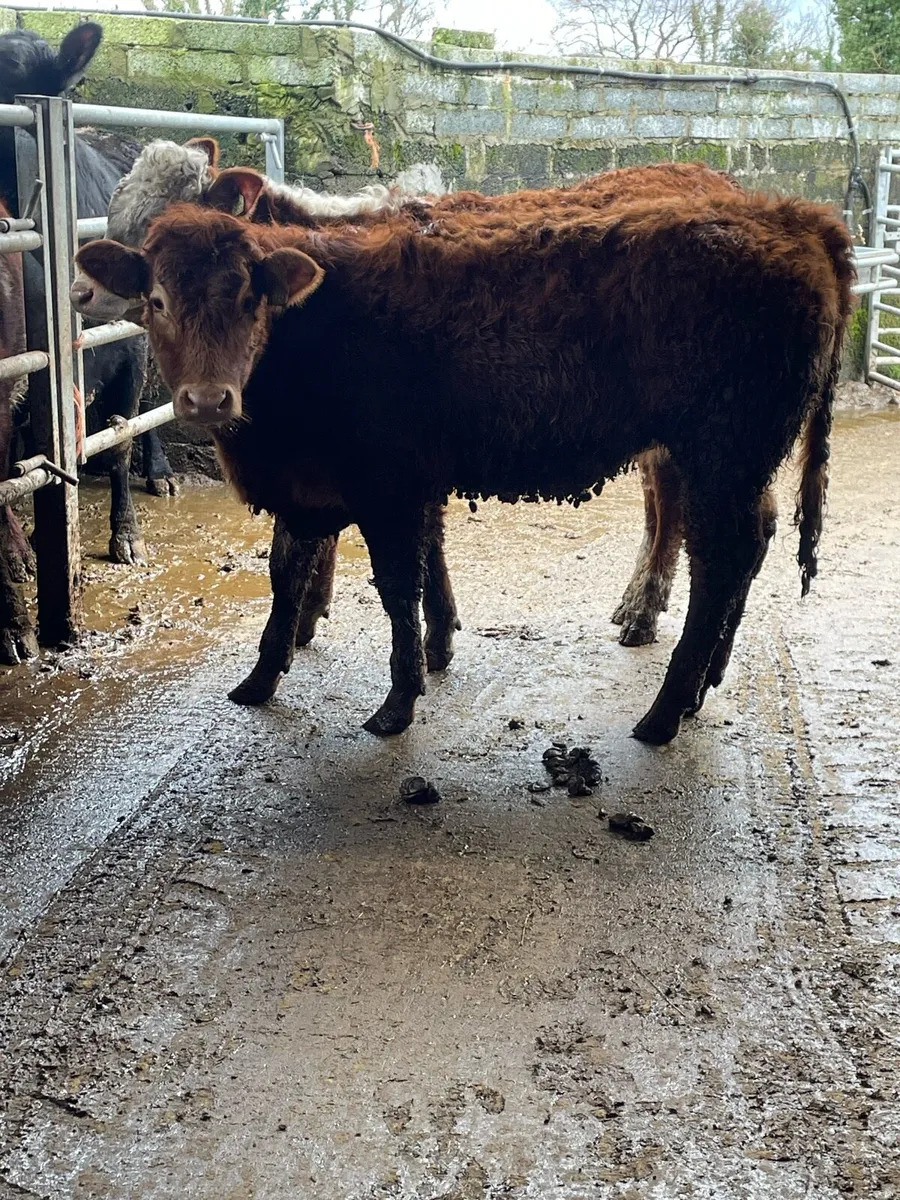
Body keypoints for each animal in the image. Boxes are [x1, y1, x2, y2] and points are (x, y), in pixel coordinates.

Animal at [77, 187, 853, 745]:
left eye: (249, 297)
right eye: (157, 299)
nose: (209, 397)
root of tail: (798, 220)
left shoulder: (387, 486)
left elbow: (398, 586)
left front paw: (398, 702)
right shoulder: (321, 483)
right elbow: (290, 571)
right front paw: (262, 678)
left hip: (718, 453)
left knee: (719, 560)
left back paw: (663, 712)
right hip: (731, 463)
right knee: (752, 540)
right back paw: (697, 689)